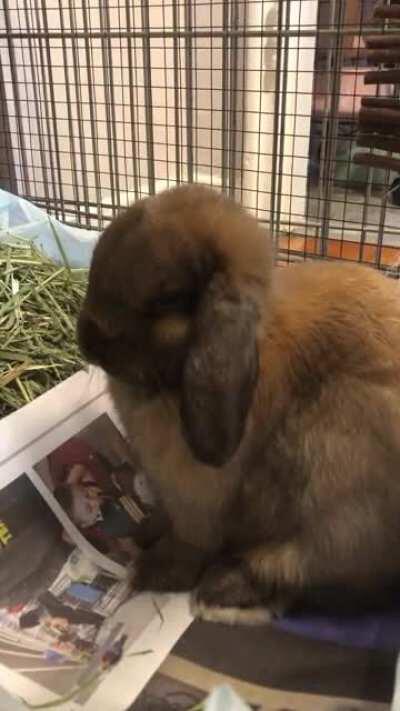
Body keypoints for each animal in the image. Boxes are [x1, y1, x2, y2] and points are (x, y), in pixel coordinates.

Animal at [78, 184, 400, 625]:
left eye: (168, 299)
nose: (86, 339)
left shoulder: (196, 502)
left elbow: (189, 543)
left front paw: (151, 571)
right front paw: (141, 533)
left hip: (338, 471)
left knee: (303, 569)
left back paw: (220, 591)